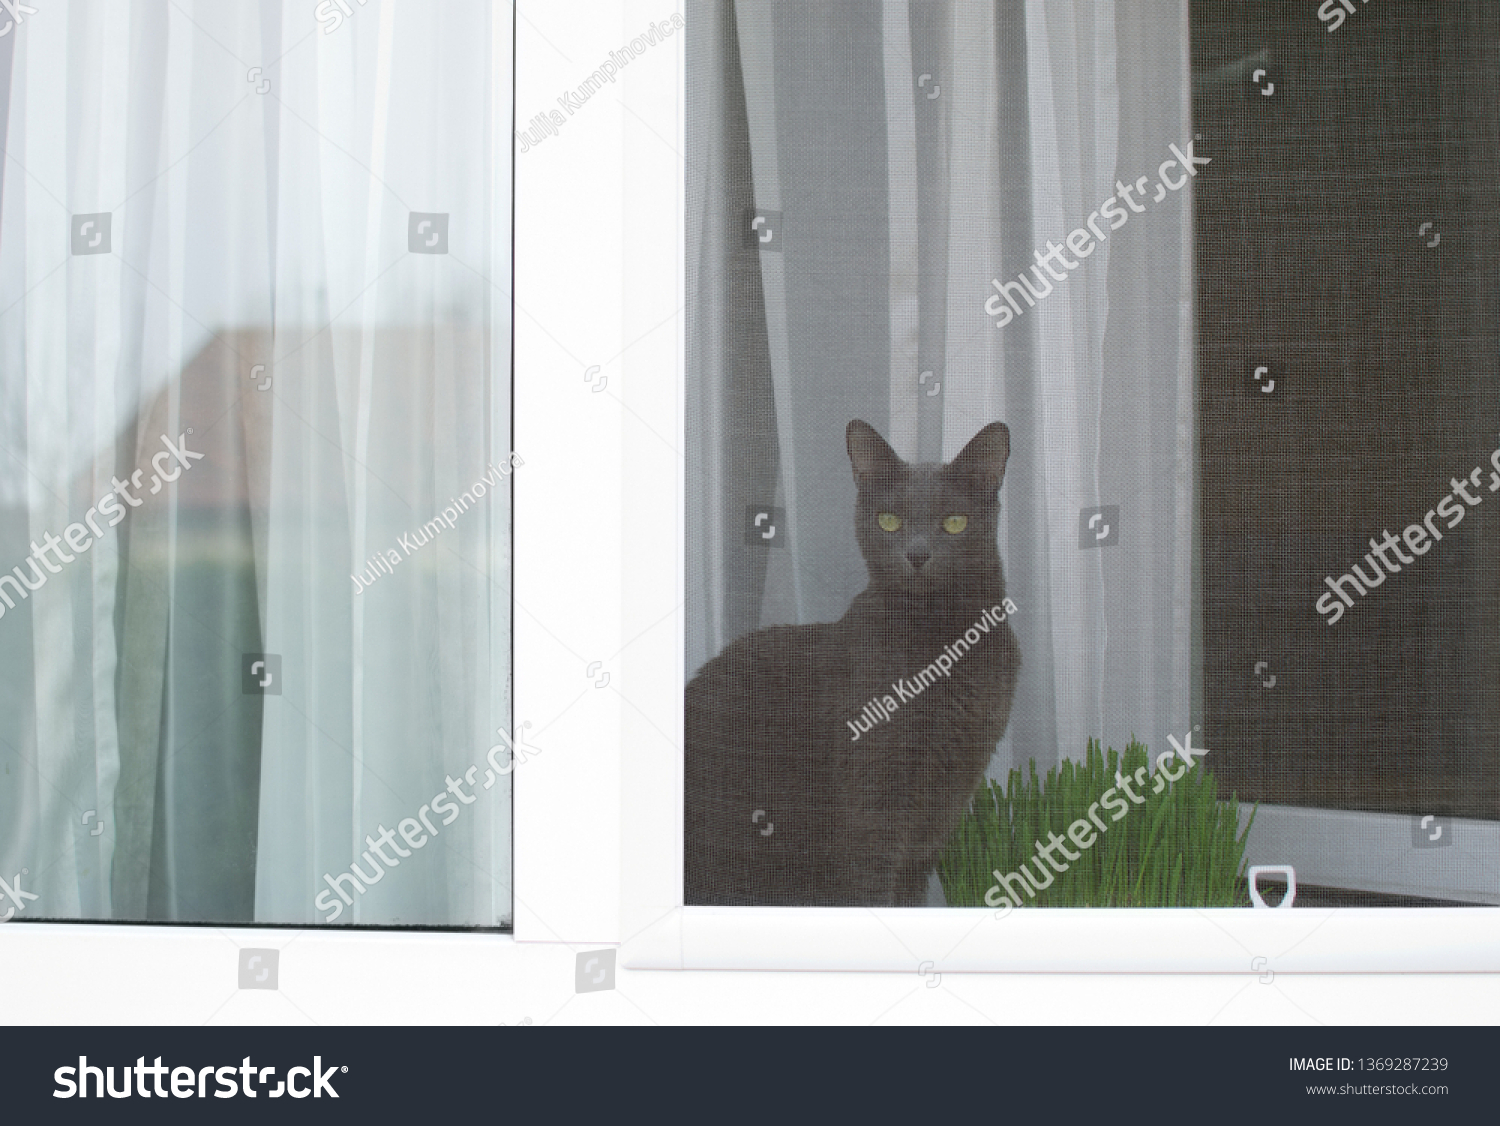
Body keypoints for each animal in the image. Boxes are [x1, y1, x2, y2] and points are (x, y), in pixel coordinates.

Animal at [687, 419, 1020, 905]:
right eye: (890, 521)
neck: (940, 642)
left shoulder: (943, 805)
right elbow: (872, 887)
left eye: (954, 522)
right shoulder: (872, 796)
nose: (916, 554)